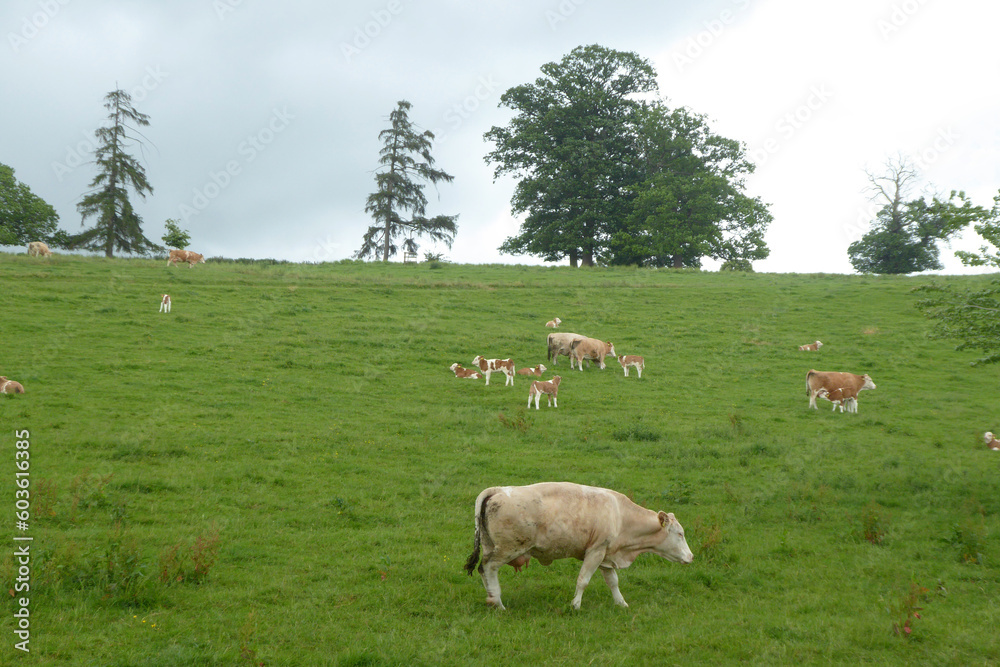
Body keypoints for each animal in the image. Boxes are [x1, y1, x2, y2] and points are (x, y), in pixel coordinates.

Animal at [464, 482, 693, 610]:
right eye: (680, 534)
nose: (691, 557)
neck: (620, 515)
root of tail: (497, 490)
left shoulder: (605, 556)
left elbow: (613, 582)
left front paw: (621, 603)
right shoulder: (595, 551)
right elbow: (583, 580)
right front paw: (575, 605)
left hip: (491, 545)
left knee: (485, 572)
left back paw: (492, 599)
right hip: (507, 549)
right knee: (487, 567)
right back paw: (498, 602)